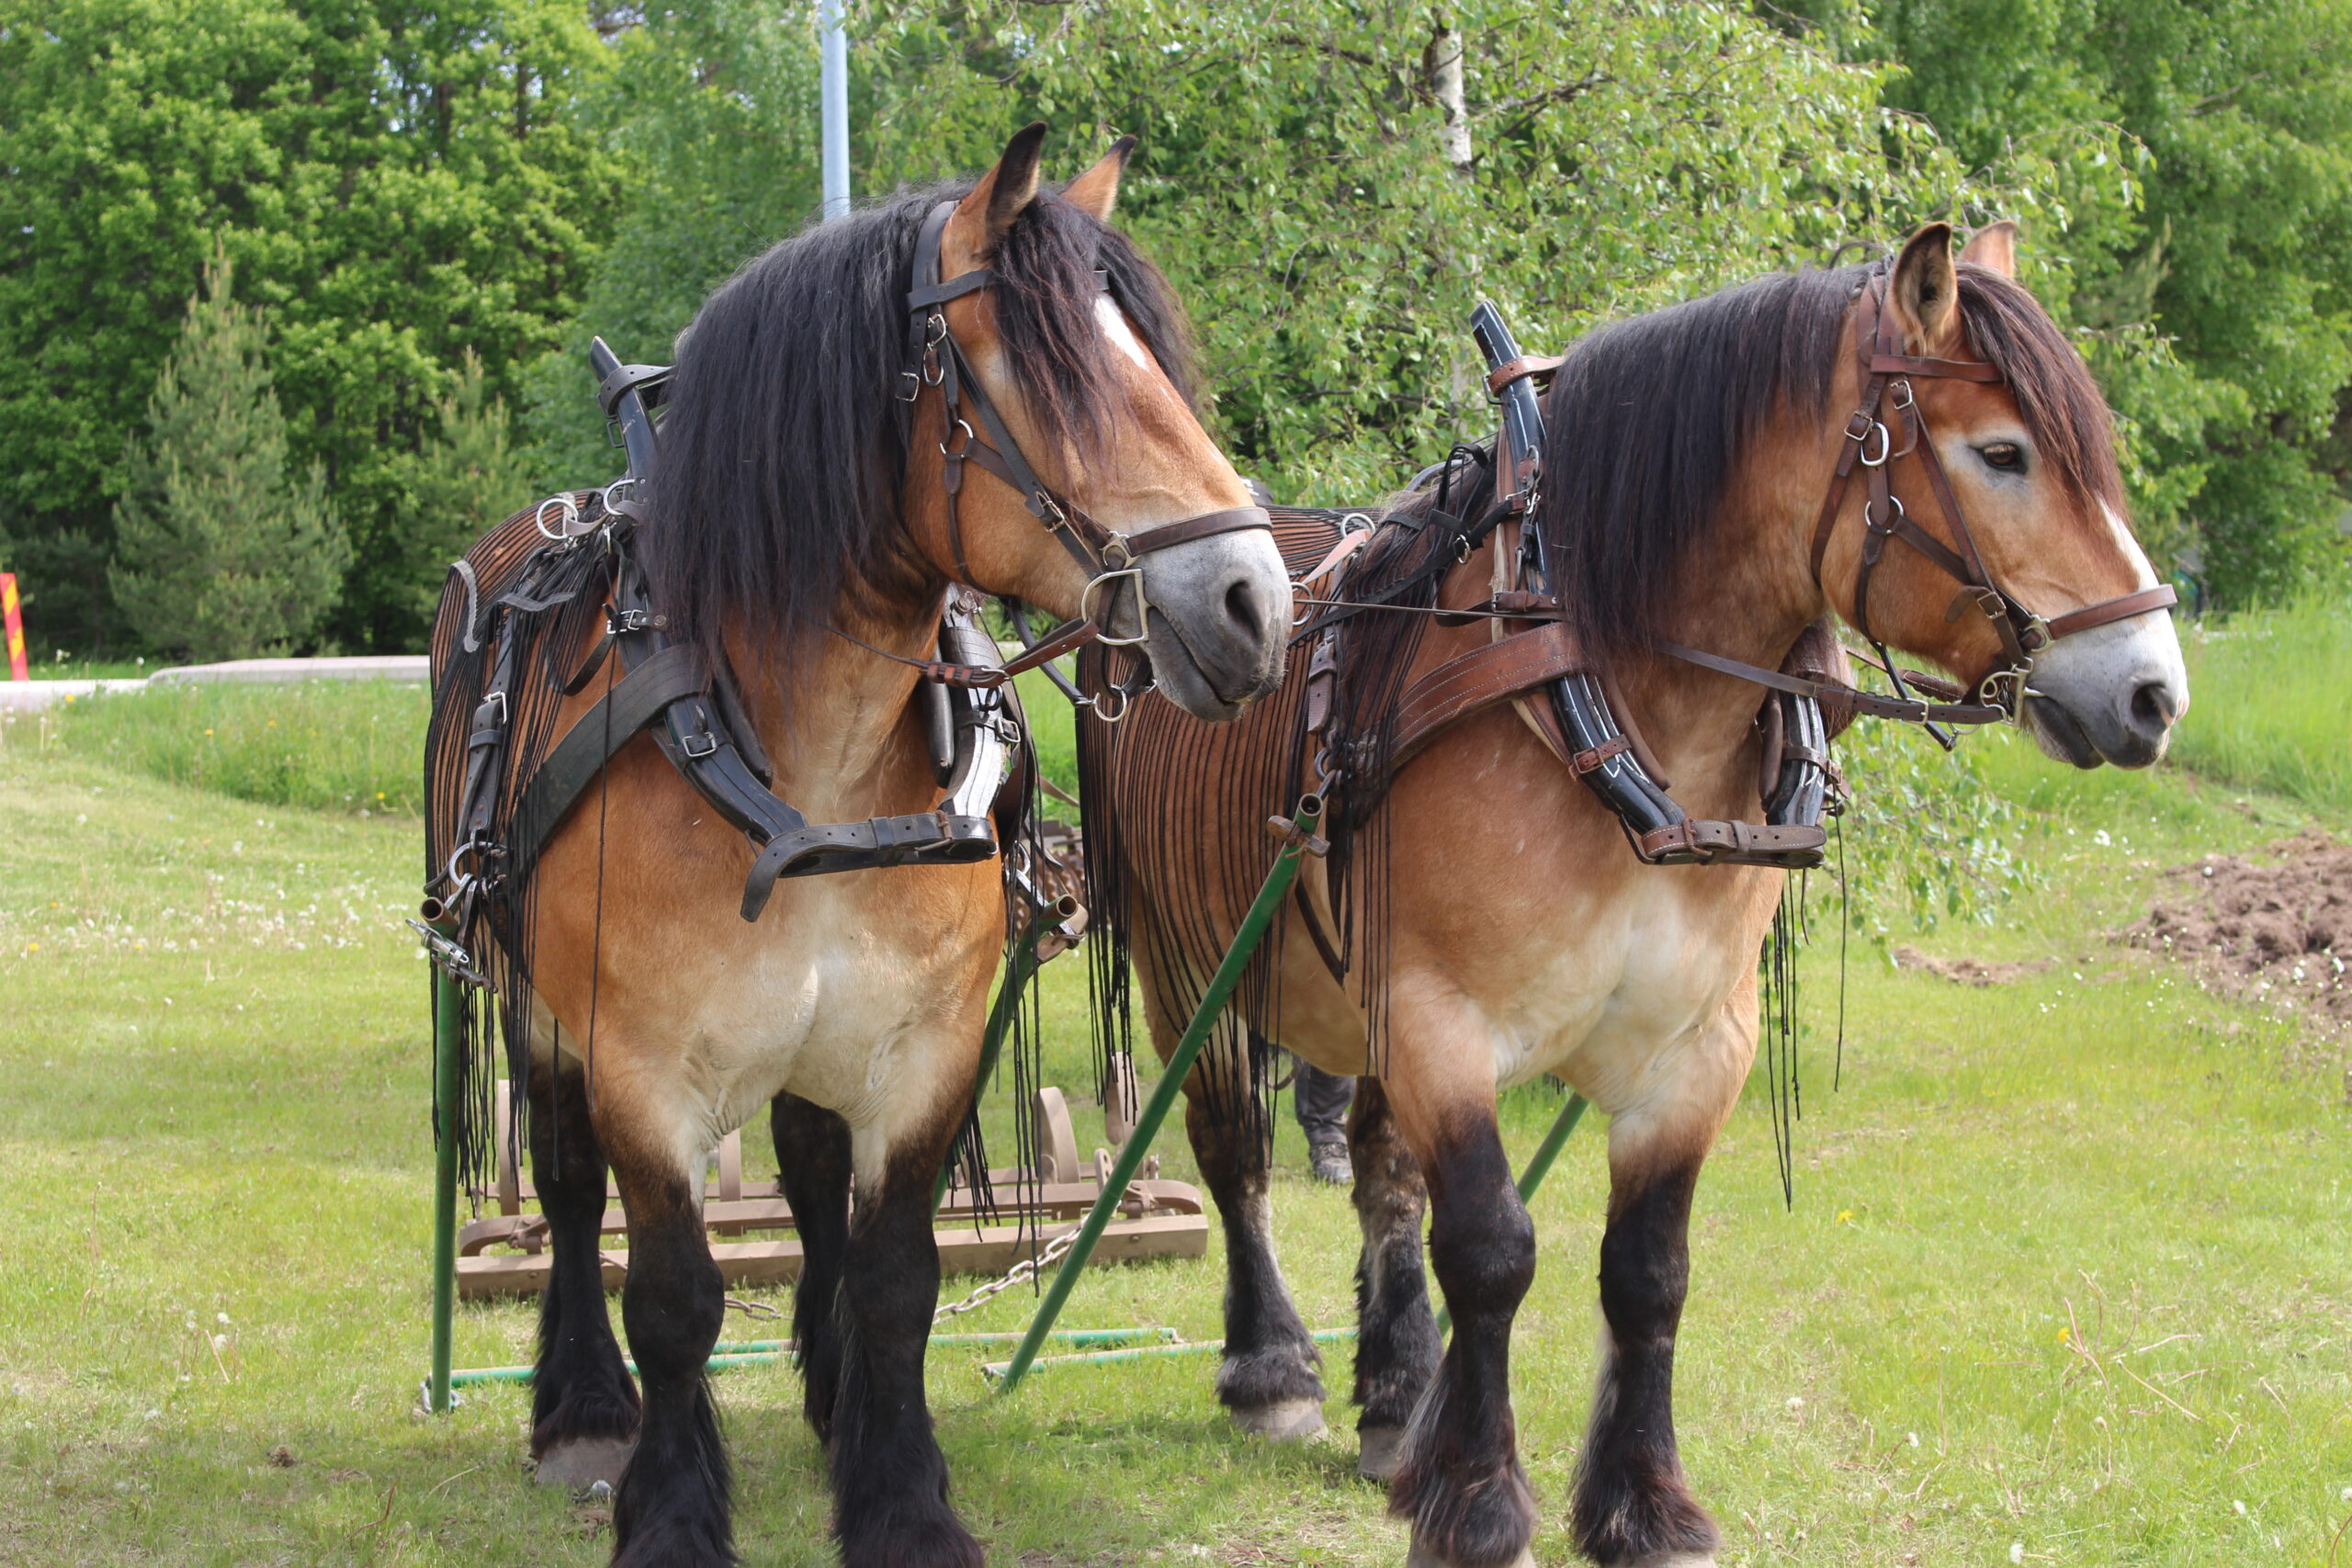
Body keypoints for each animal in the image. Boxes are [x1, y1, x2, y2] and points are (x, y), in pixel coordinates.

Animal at [433, 131, 1298, 1568]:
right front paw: (671, 1510)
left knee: (806, 1167)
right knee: (563, 1186)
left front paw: (899, 1498)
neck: (802, 767)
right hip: (531, 1001)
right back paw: (584, 1409)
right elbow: (670, 1292)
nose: (1254, 604)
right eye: (1048, 372)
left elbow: (895, 1273)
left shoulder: (922, 1051)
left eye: (1152, 359)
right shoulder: (638, 1066)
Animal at [1081, 223, 2182, 1568]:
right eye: (2002, 453)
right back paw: (1274, 1369)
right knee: (1235, 1153)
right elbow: (1492, 1250)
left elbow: (1648, 1269)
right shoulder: (1443, 1020)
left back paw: (1397, 1396)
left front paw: (1639, 1501)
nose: (2152, 692)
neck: (1597, 691)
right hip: (1194, 966)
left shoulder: (1696, 1045)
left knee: (1383, 1173)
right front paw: (1479, 1501)